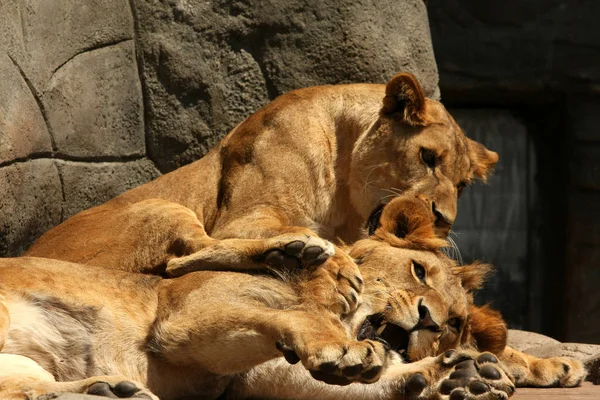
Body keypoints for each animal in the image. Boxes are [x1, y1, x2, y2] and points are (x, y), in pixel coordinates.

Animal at [0, 198, 580, 400]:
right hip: (165, 209)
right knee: (191, 252)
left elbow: (379, 378)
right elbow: (294, 316)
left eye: (455, 321)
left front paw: (467, 374)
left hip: (25, 365)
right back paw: (298, 249)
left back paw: (106, 392)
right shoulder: (184, 317)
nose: (429, 320)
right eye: (419, 271)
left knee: (27, 392)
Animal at [24, 71, 496, 316]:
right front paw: (337, 267)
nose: (444, 220)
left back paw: (293, 254)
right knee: (182, 259)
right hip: (160, 206)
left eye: (463, 184)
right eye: (428, 157)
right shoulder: (246, 215)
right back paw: (296, 252)